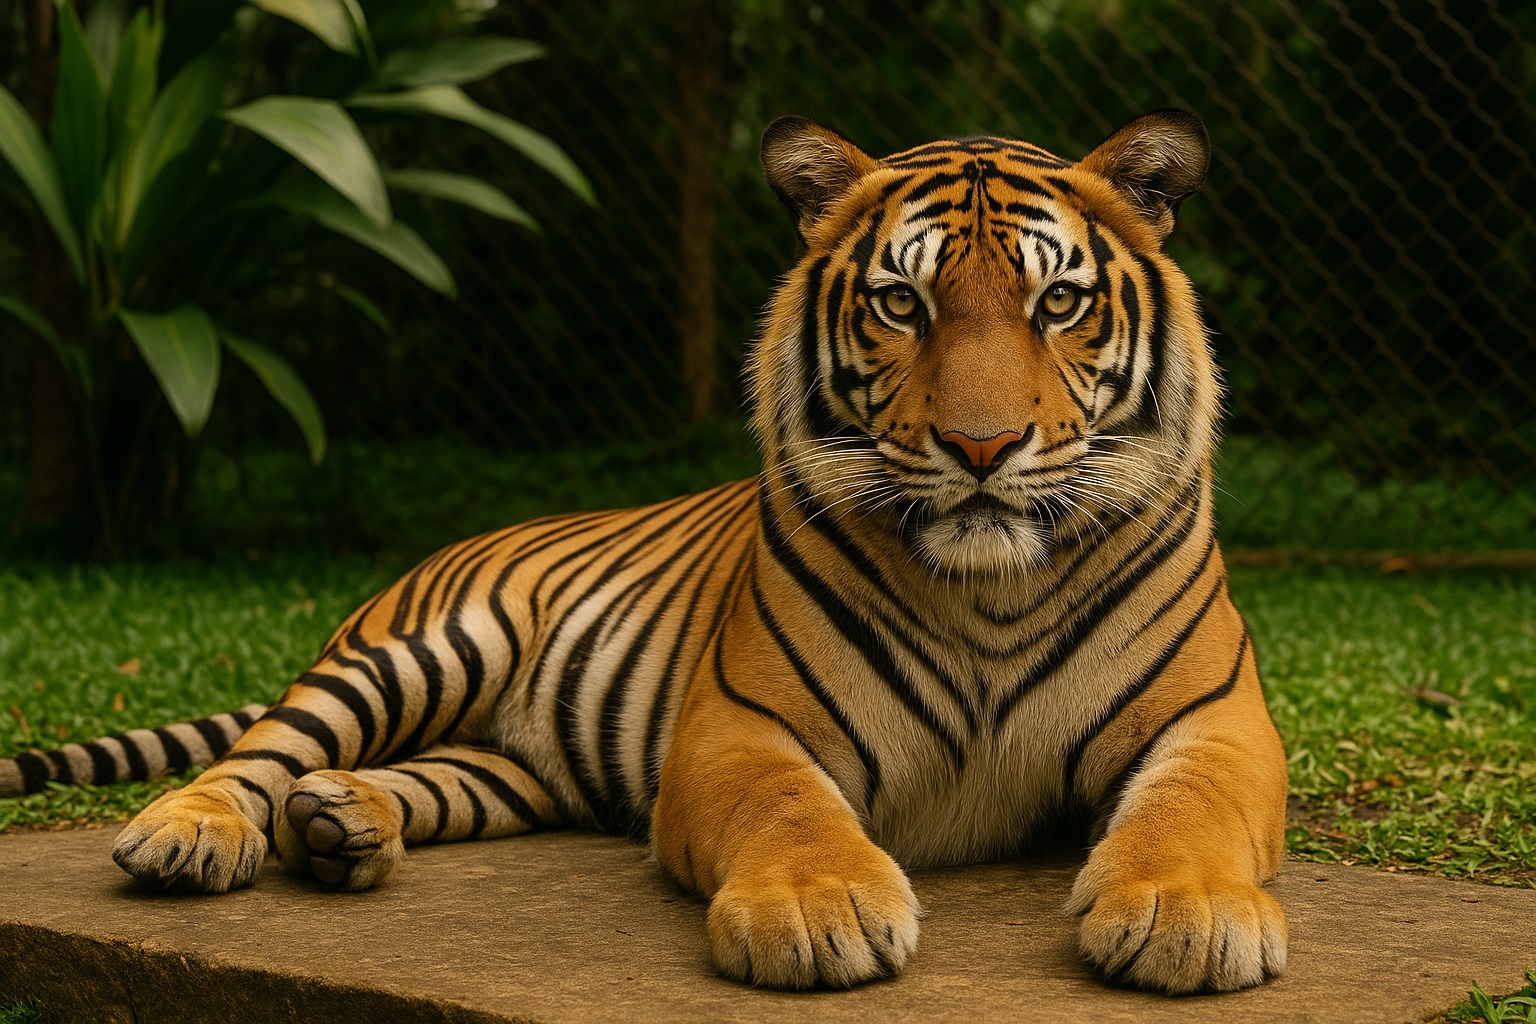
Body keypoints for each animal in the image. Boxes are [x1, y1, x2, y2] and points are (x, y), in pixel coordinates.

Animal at [0, 111, 1288, 994]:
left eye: (1057, 304)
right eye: (902, 306)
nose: (981, 445)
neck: (989, 591)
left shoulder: (1217, 718)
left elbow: (1191, 806)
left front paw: (1185, 915)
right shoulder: (740, 728)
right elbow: (791, 808)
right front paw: (821, 909)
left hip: (509, 765)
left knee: (415, 775)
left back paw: (337, 823)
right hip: (418, 651)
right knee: (267, 744)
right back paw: (189, 833)